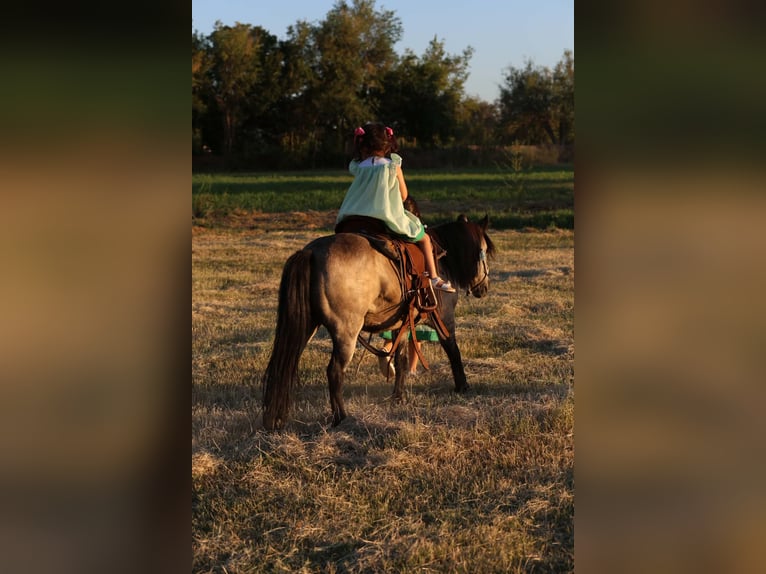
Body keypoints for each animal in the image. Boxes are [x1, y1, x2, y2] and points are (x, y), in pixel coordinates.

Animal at [261, 214, 496, 430]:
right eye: (483, 252)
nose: (484, 288)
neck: (443, 260)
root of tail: (312, 252)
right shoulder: (445, 319)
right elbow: (453, 351)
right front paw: (463, 386)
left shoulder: (401, 325)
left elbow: (401, 360)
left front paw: (398, 397)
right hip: (347, 333)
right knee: (334, 372)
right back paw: (341, 418)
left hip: (306, 327)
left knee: (287, 365)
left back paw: (276, 417)